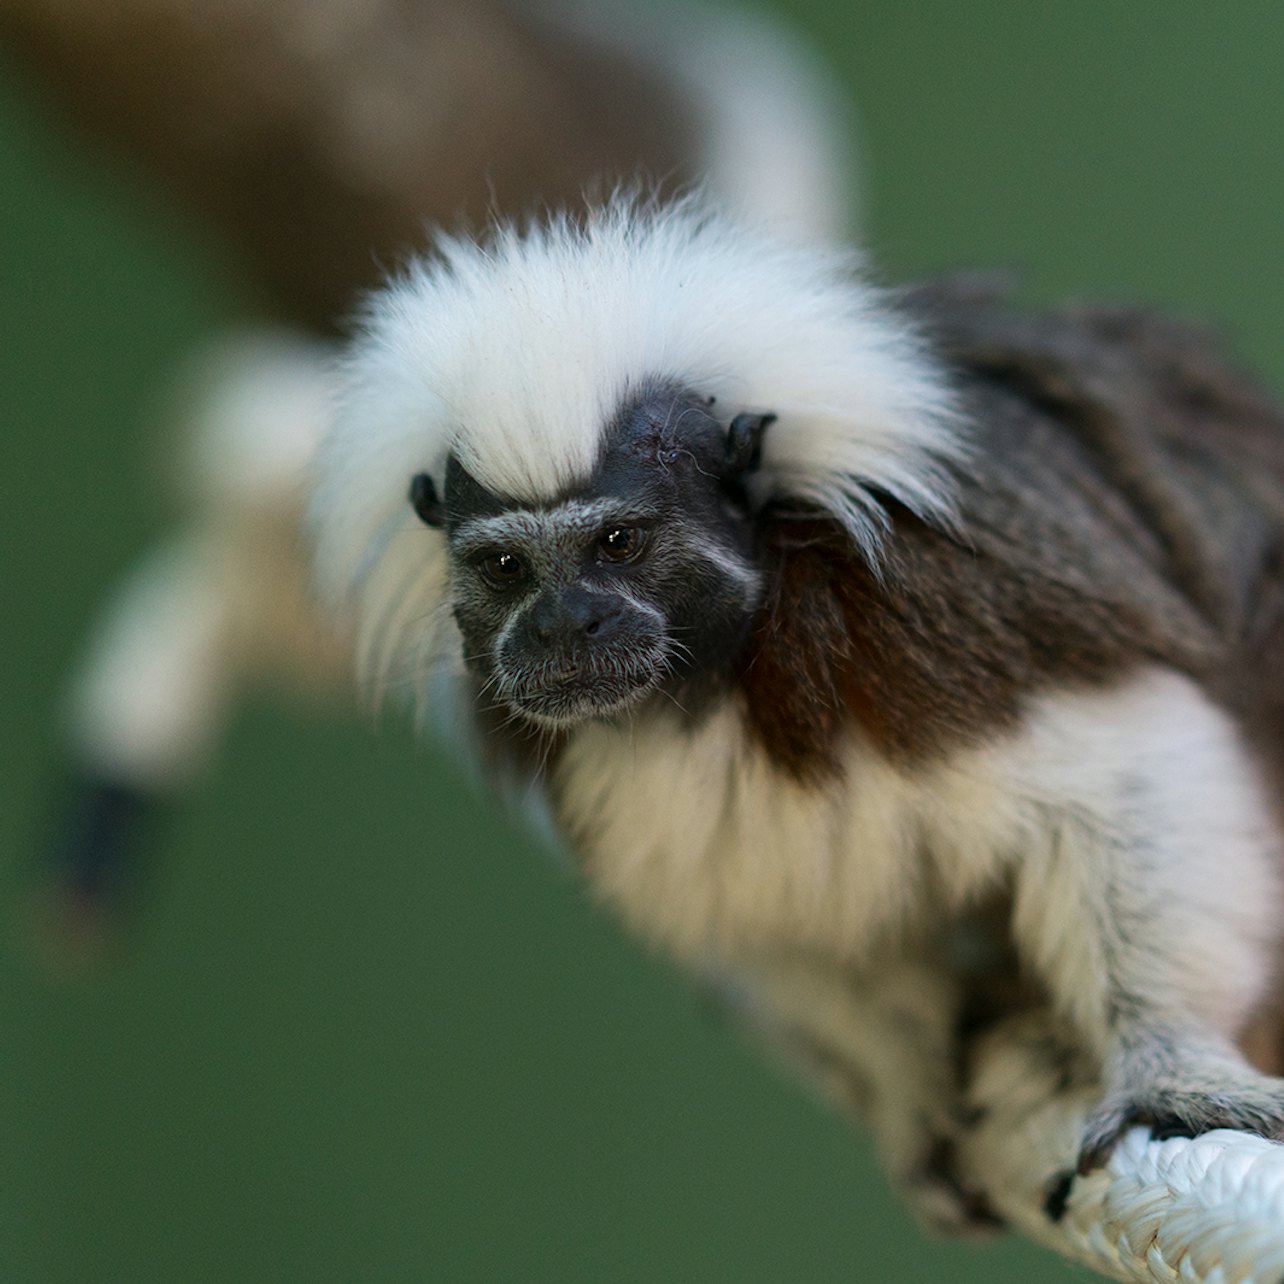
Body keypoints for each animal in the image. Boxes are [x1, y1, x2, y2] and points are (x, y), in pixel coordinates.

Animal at [308, 197, 1284, 1232]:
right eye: (505, 567)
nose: (566, 626)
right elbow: (793, 922)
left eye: (619, 542)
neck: (726, 667)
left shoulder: (953, 606)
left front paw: (1169, 1062)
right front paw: (908, 1081)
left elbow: (1131, 760)